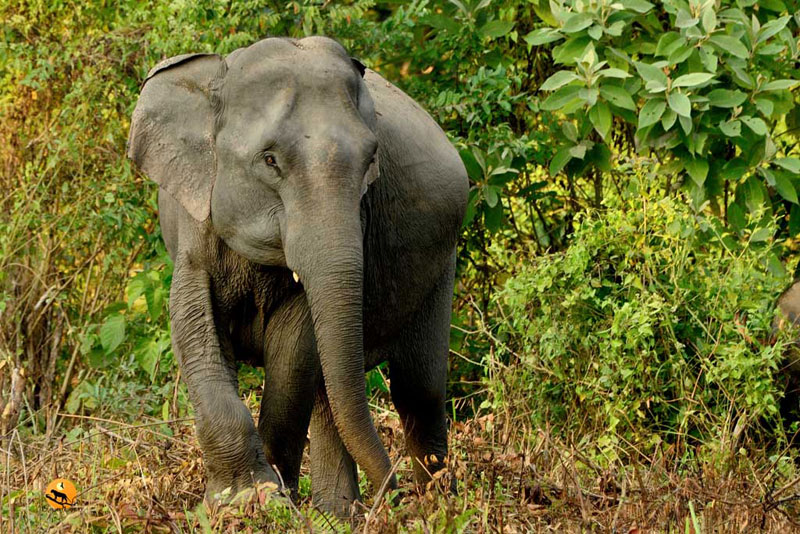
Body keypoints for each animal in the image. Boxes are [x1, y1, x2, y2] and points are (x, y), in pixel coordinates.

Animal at [126, 35, 468, 516]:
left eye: (372, 158)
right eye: (269, 160)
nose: (394, 494)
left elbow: (293, 349)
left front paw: (273, 498)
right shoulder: (194, 228)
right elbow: (194, 326)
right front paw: (243, 500)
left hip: (442, 262)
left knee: (418, 389)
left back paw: (435, 505)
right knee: (333, 391)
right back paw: (342, 513)